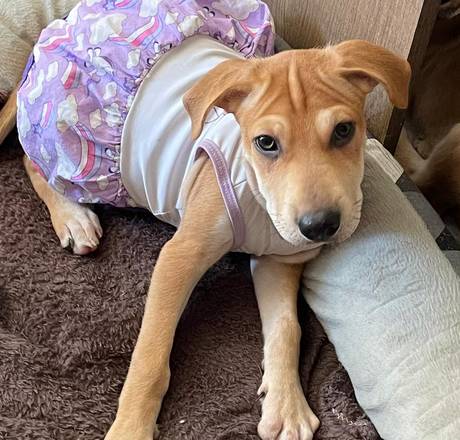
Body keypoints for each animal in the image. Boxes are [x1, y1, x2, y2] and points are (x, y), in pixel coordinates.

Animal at [0, 1, 410, 439]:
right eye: (266, 143)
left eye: (344, 131)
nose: (320, 226)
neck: (257, 197)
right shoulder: (179, 257)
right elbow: (150, 355)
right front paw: (130, 427)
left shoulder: (278, 263)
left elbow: (288, 328)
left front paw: (286, 403)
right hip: (65, 142)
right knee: (29, 158)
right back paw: (73, 218)